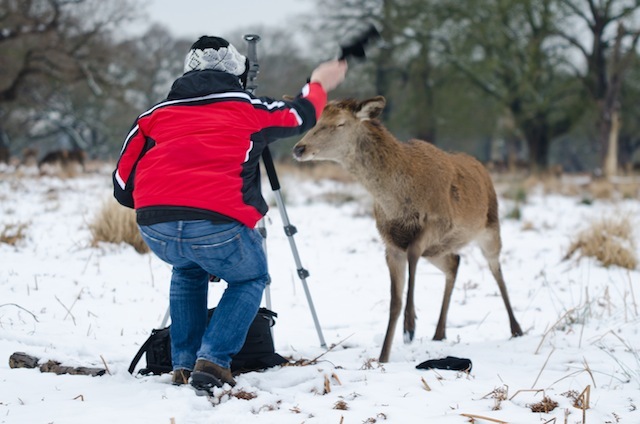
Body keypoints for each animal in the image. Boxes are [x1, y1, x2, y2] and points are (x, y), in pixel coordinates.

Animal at [292, 96, 523, 363]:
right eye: (317, 120)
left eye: (340, 123)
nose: (299, 148)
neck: (397, 202)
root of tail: (482, 167)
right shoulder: (390, 244)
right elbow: (394, 301)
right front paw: (383, 356)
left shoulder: (439, 222)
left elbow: (413, 255)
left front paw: (410, 327)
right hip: (438, 251)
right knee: (454, 262)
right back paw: (439, 332)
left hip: (490, 228)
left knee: (496, 269)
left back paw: (516, 328)